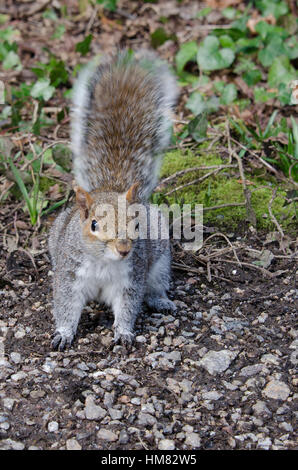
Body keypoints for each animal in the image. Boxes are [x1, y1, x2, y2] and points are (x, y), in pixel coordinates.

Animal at [49, 50, 178, 348]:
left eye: (137, 224)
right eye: (94, 225)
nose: (123, 250)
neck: (103, 262)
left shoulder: (131, 278)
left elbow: (128, 306)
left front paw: (124, 332)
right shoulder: (70, 276)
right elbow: (66, 305)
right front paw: (63, 333)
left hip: (160, 263)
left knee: (154, 287)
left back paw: (160, 301)